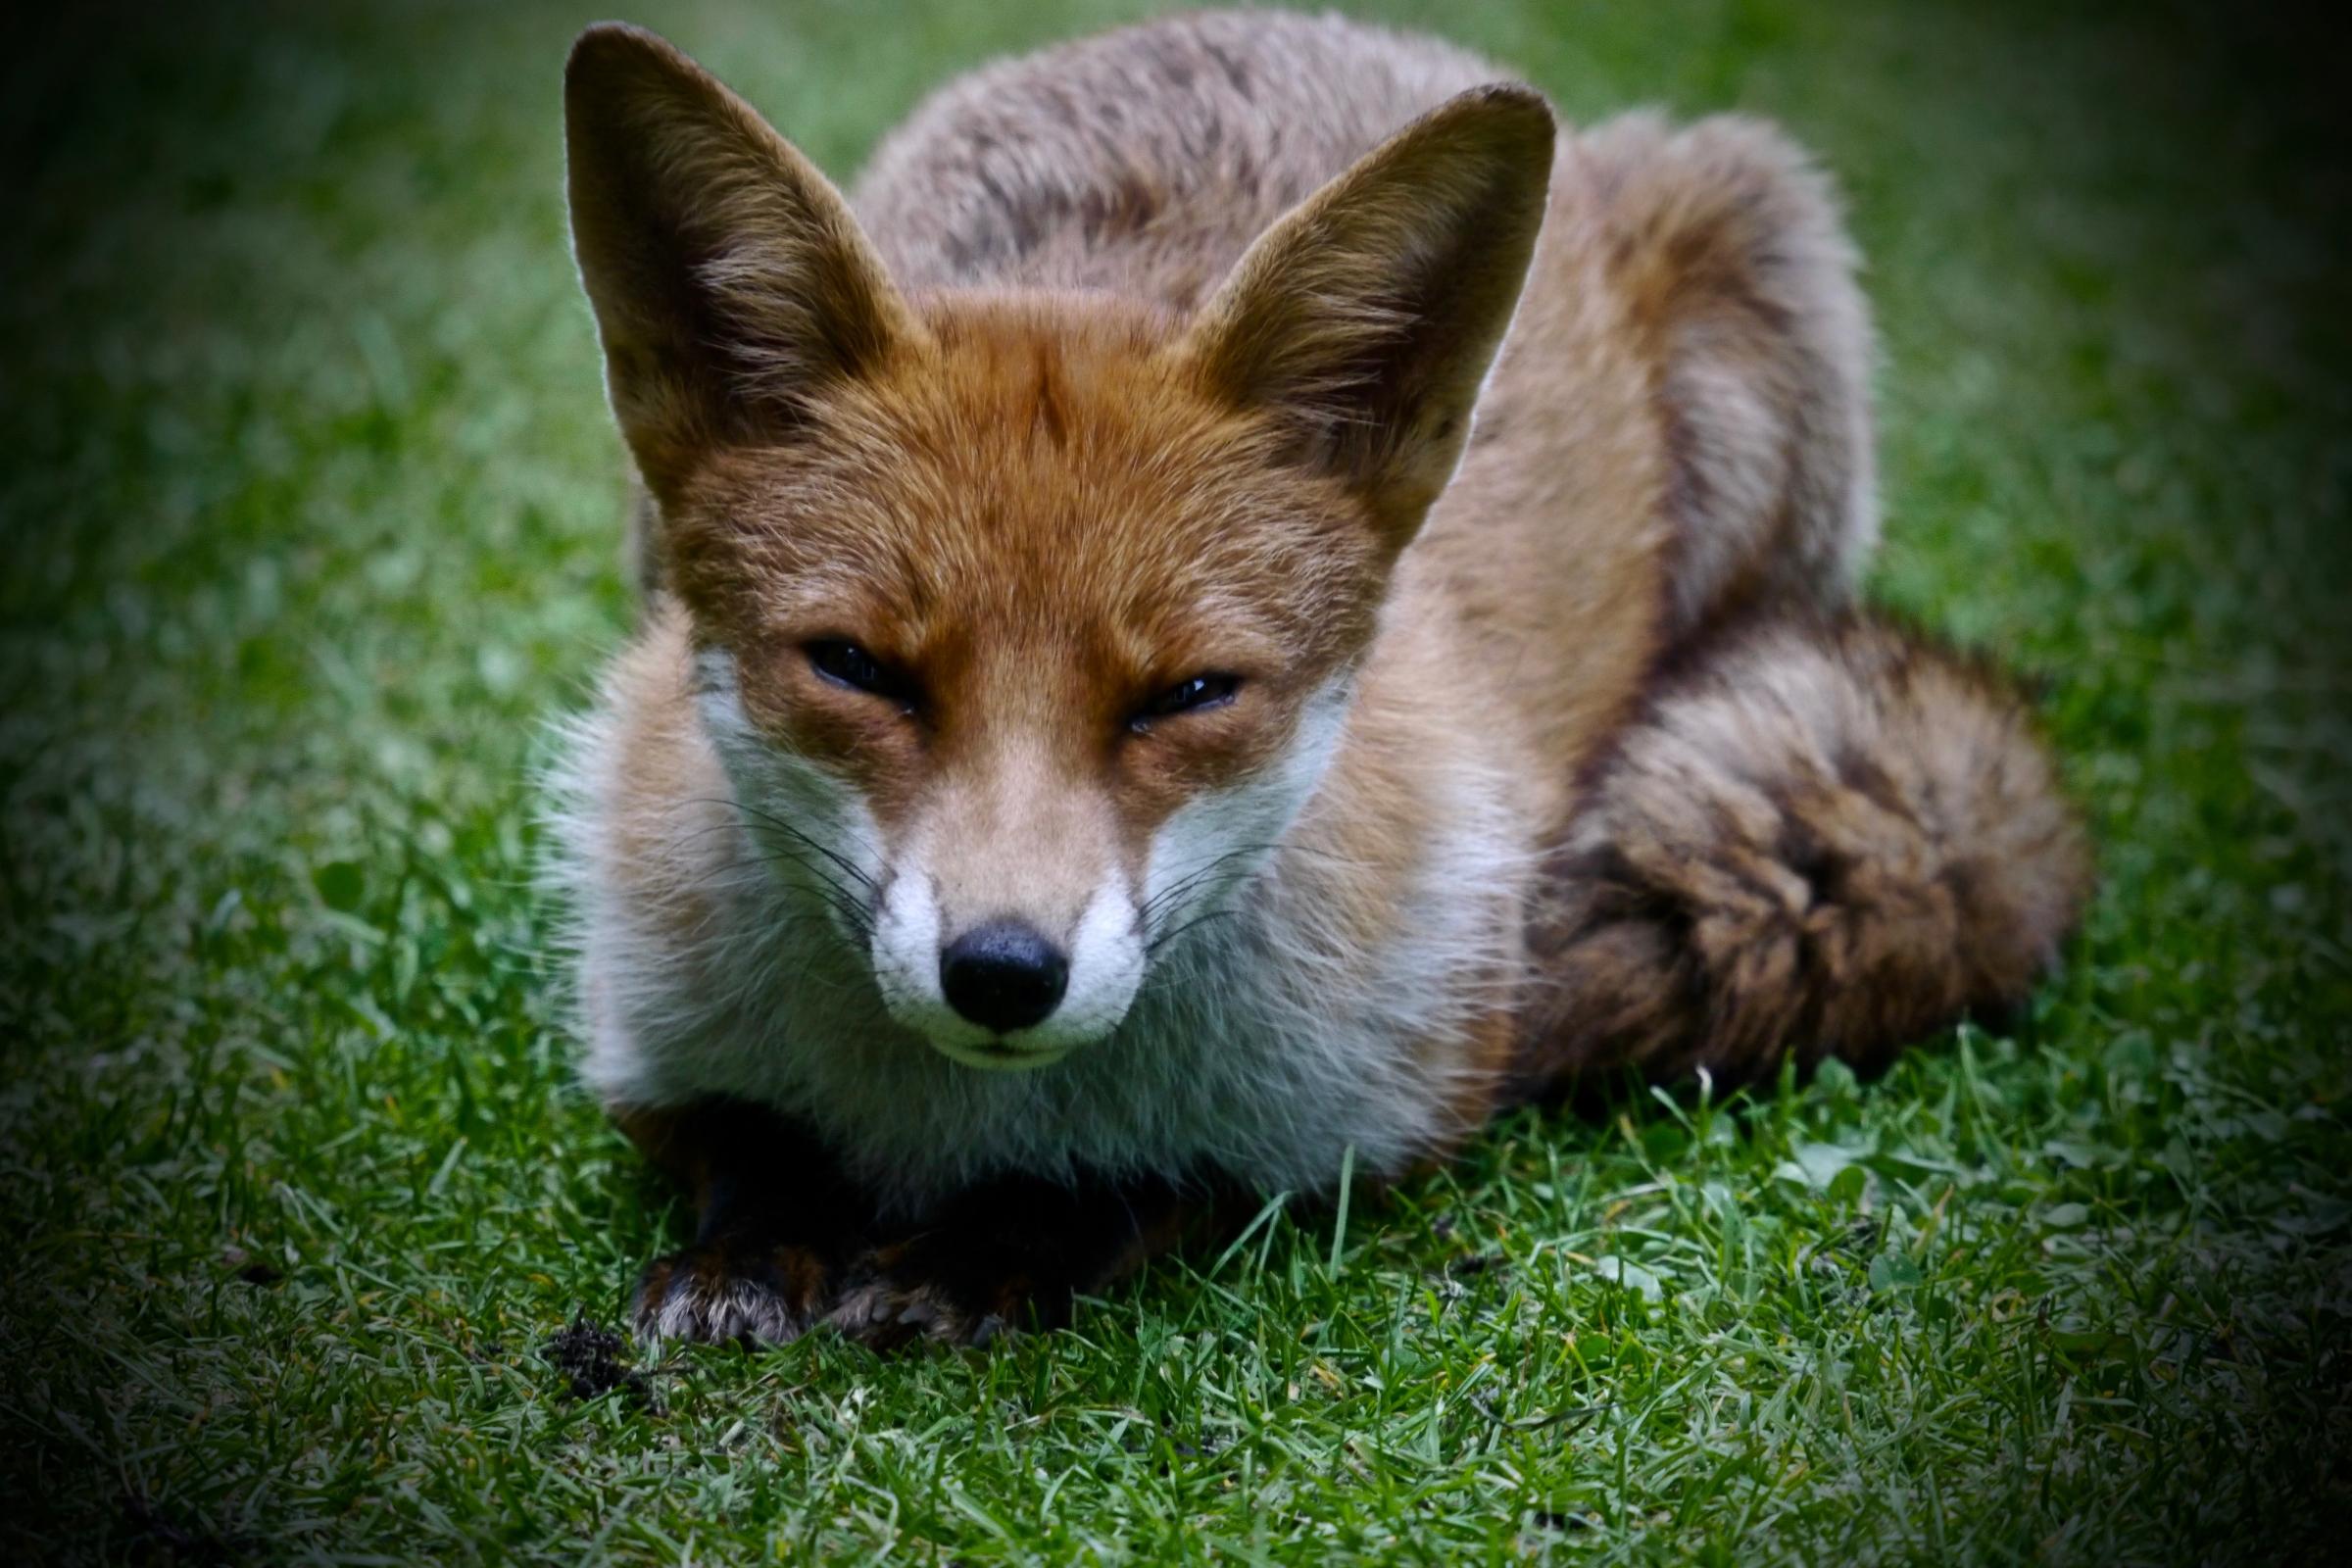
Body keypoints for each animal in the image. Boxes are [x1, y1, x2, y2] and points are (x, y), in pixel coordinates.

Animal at [555, 9, 2097, 1353]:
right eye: (857, 668)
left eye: (1188, 694)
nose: (1002, 972)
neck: (960, 1117)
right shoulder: (644, 1041)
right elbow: (751, 1144)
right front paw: (754, 1251)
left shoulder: (1399, 1105)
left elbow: (1142, 1181)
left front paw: (989, 1248)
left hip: (1773, 313)